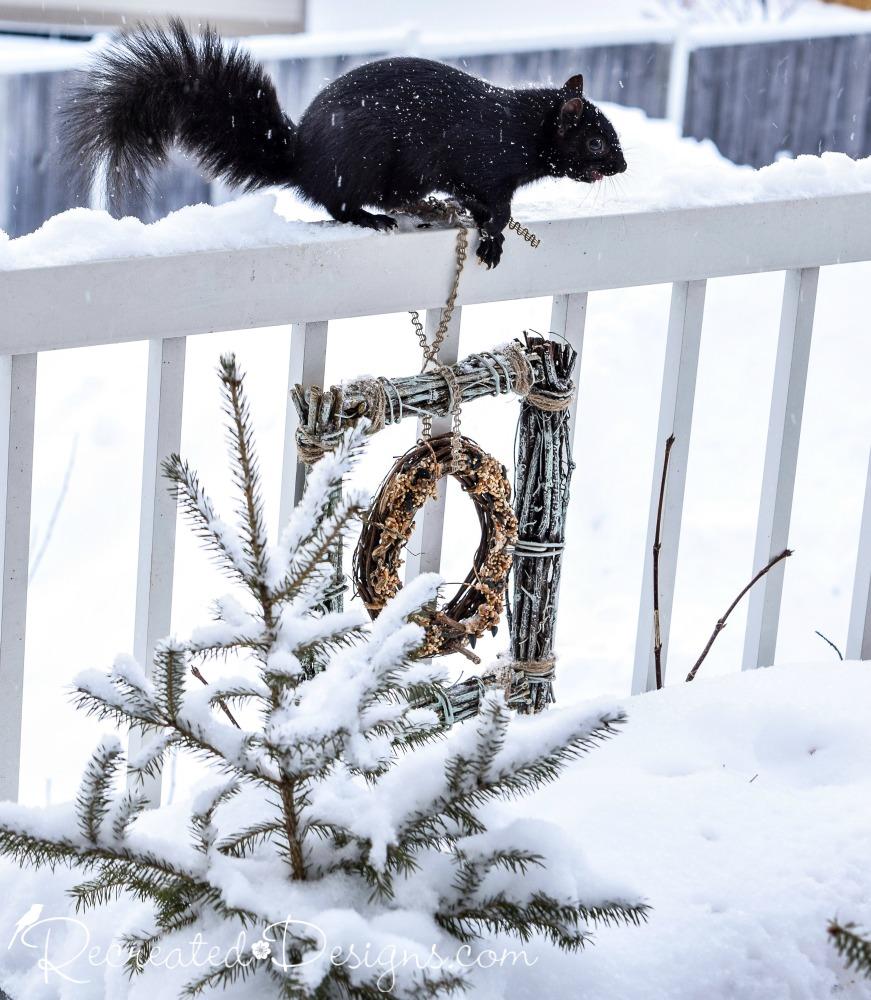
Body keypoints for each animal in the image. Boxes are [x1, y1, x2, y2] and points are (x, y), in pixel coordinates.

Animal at [66, 20, 628, 270]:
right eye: (597, 142)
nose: (623, 166)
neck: (521, 129)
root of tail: (302, 160)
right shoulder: (483, 165)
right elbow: (495, 206)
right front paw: (492, 238)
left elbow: (482, 203)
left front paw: (475, 220)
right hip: (368, 161)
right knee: (346, 203)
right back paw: (385, 215)